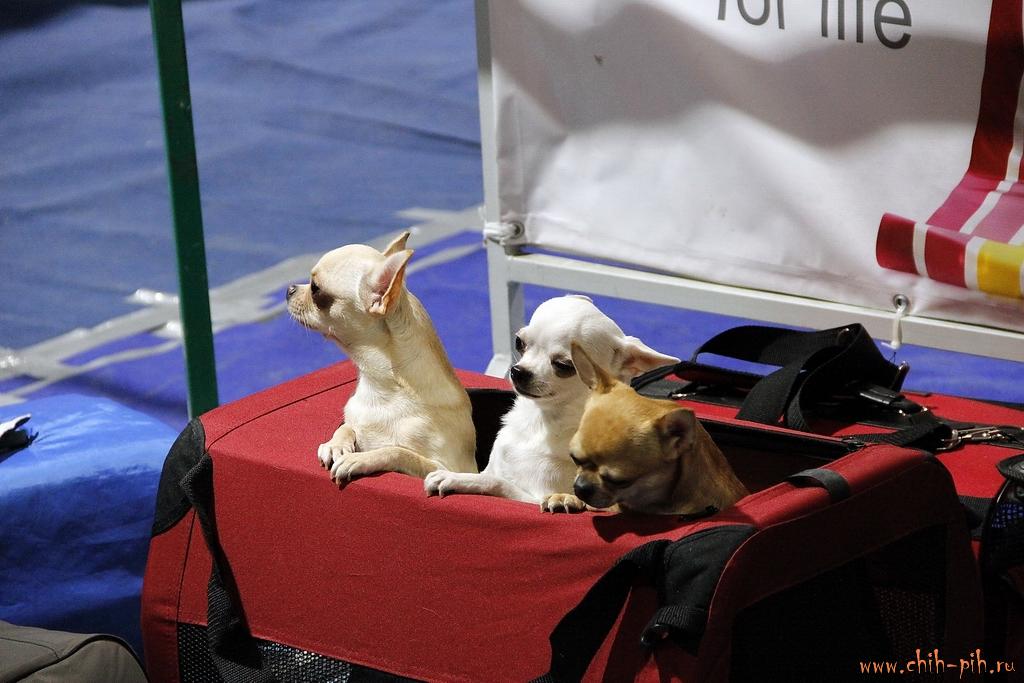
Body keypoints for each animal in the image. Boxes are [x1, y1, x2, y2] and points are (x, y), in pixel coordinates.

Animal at [286, 231, 476, 483]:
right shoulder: (354, 418)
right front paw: (335, 444)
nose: (289, 289)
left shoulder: (446, 468)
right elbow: (347, 426)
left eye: (315, 289)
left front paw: (359, 459)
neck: (381, 389)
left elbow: (397, 451)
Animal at [424, 295, 678, 512]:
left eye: (564, 365)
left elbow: (496, 482)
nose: (518, 371)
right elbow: (489, 475)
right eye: (519, 342)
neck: (542, 421)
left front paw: (454, 477)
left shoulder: (531, 496)